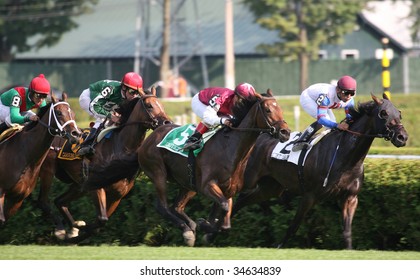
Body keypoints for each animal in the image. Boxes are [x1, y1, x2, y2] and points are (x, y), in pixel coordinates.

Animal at [37, 88, 171, 242]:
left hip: (79, 186)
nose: (167, 121)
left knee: (59, 201)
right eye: (149, 106)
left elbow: (100, 223)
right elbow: (101, 219)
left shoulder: (117, 195)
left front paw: (77, 232)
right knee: (43, 200)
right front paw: (81, 228)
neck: (121, 148)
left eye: (161, 104)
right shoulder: (96, 187)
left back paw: (72, 229)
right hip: (48, 171)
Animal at [135, 91, 292, 246]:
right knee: (162, 206)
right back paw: (186, 230)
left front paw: (206, 226)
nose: (286, 132)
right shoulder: (207, 185)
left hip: (189, 183)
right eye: (268, 110)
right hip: (158, 173)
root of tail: (151, 137)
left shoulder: (228, 190)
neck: (230, 149)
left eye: (280, 109)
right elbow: (224, 207)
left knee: (177, 207)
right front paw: (204, 225)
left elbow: (226, 222)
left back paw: (191, 227)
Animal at [231, 93, 408, 248]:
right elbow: (294, 226)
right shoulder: (310, 196)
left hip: (270, 188)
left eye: (399, 113)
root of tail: (258, 135)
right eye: (383, 113)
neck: (346, 157)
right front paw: (279, 246)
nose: (402, 137)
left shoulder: (350, 197)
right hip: (247, 178)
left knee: (241, 200)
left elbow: (347, 232)